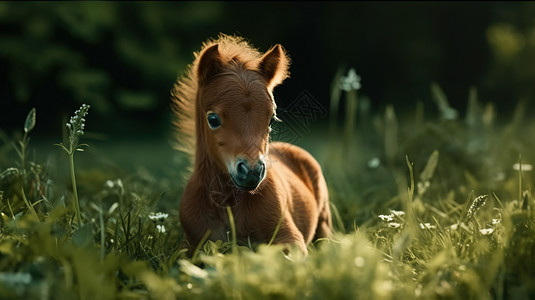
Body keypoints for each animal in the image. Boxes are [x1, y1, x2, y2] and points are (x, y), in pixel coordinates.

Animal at [173, 35, 330, 255]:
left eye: (272, 119)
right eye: (213, 119)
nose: (252, 171)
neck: (227, 202)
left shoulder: (290, 238)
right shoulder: (190, 243)